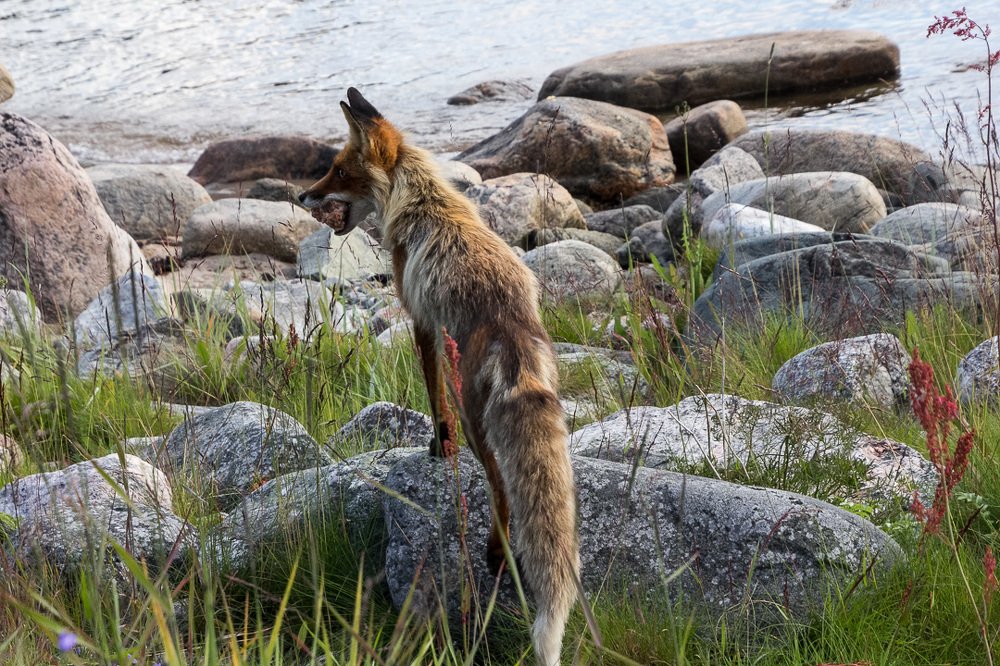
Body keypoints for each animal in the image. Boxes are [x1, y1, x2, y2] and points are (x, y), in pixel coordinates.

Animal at [299, 88, 580, 666]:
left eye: (338, 171)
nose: (299, 195)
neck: (423, 199)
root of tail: (512, 324)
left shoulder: (422, 321)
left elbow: (432, 398)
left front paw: (437, 444)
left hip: (478, 421)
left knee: (499, 486)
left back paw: (497, 552)